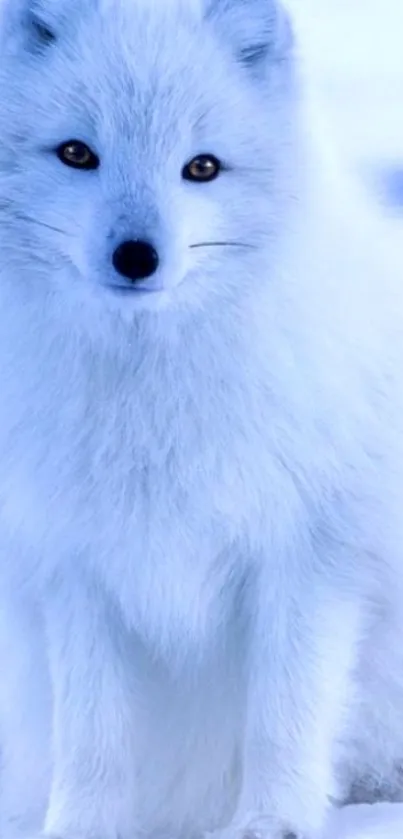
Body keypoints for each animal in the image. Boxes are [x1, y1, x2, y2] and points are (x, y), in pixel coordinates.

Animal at [0, 0, 403, 836]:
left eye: (202, 167)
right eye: (77, 153)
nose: (135, 255)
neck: (147, 396)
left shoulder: (309, 555)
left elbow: (283, 712)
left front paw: (272, 821)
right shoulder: (75, 564)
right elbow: (90, 731)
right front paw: (79, 827)